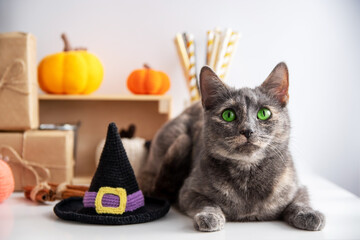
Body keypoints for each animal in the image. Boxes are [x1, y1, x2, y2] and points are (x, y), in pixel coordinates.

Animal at [139, 62, 324, 232]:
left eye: (264, 113)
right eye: (228, 115)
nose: (247, 130)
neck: (248, 174)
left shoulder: (297, 187)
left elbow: (300, 201)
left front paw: (310, 214)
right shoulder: (188, 191)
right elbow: (205, 202)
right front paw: (210, 216)